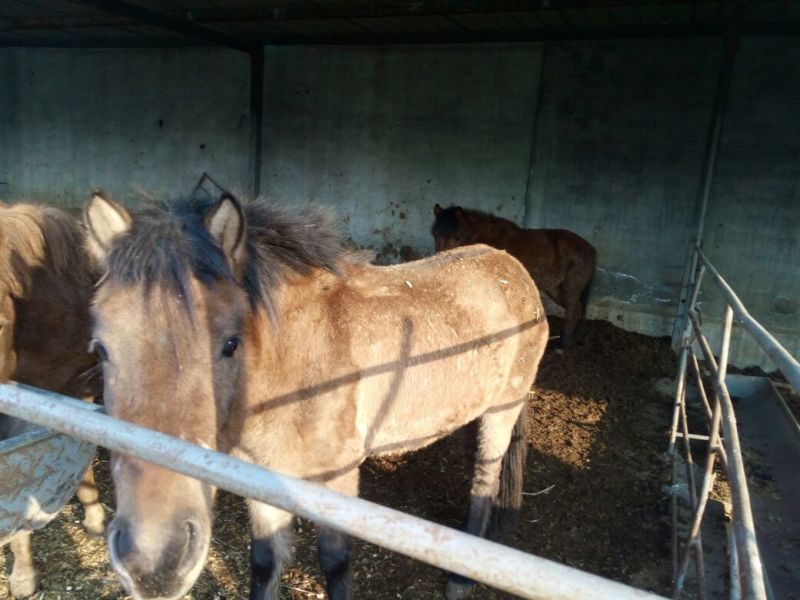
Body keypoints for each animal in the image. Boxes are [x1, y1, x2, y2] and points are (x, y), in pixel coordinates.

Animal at [83, 191, 549, 600]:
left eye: (230, 343)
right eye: (101, 348)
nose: (154, 563)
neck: (297, 361)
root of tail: (513, 269)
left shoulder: (338, 479)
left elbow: (336, 564)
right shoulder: (261, 477)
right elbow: (264, 562)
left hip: (502, 410)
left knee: (485, 480)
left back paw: (460, 578)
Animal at [432, 204, 597, 347]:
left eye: (458, 237)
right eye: (435, 235)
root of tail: (591, 250)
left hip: (571, 289)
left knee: (573, 310)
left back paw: (564, 344)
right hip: (555, 290)